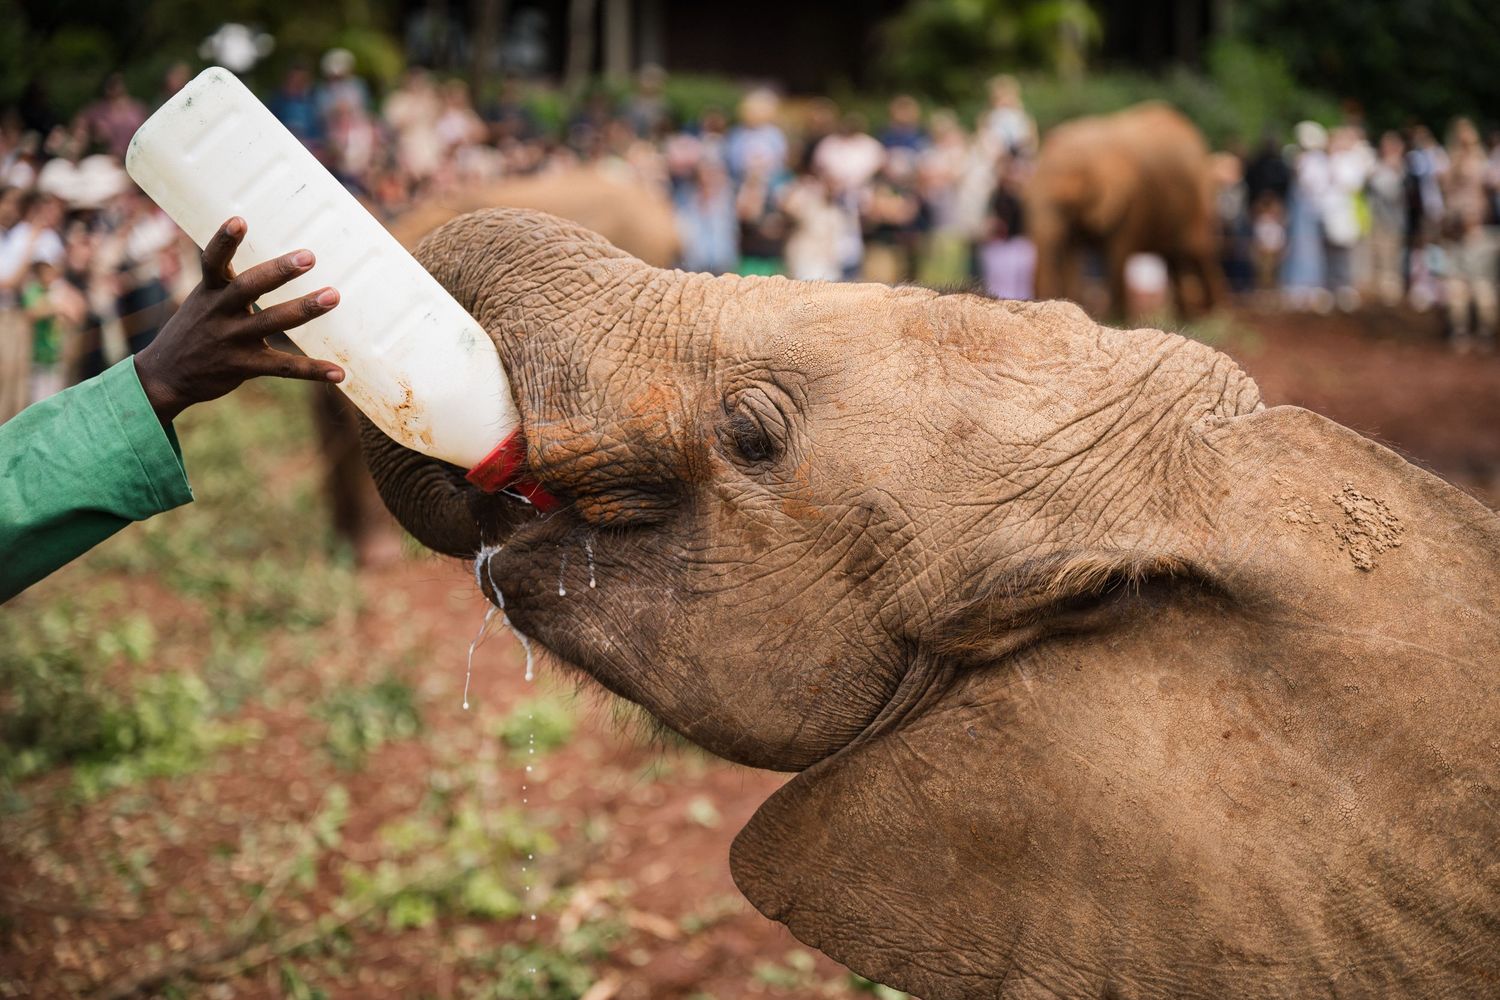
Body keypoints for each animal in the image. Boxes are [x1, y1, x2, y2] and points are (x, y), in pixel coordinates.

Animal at [1026, 102, 1226, 319]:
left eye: (1065, 202)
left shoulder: (1133, 200)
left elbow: (1117, 254)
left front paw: (1115, 318)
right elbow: (1073, 253)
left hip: (1199, 196)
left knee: (1198, 250)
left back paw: (1214, 315)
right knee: (1174, 257)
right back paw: (1189, 316)